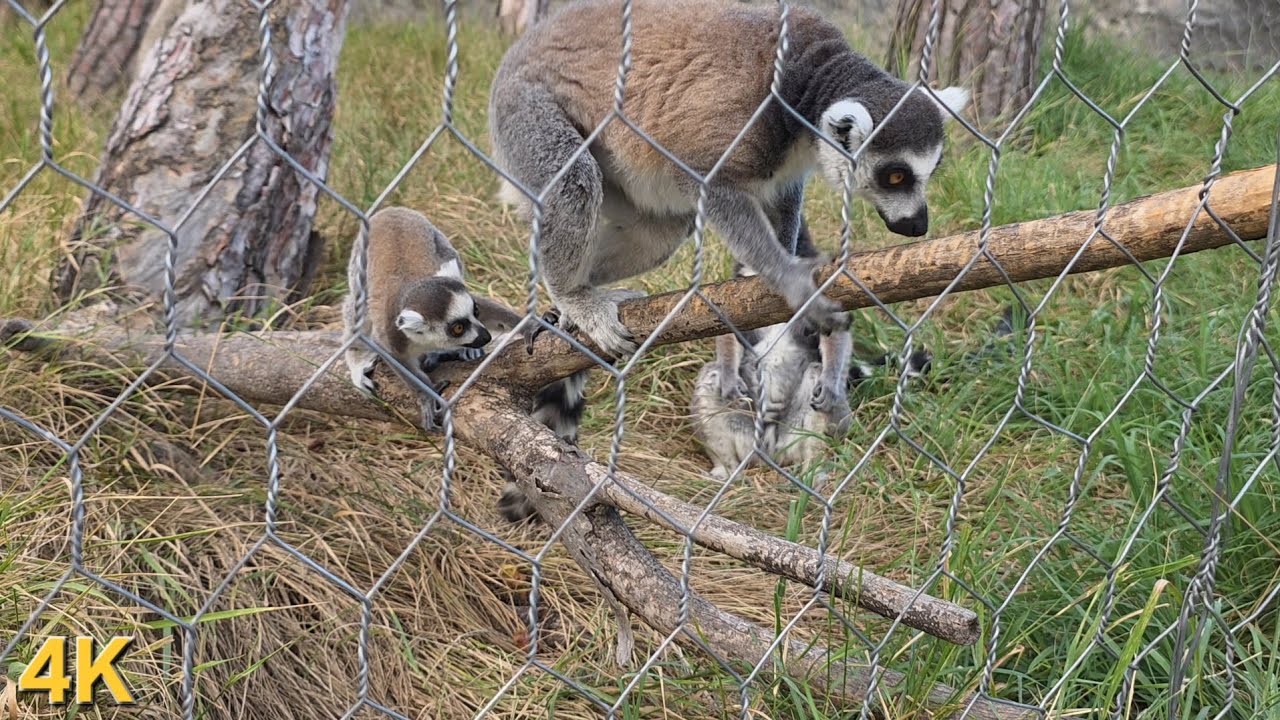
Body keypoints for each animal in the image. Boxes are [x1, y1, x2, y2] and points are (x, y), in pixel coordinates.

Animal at [488, 0, 969, 359]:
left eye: (928, 172)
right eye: (895, 176)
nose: (917, 224)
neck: (805, 82)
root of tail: (523, 44)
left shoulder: (786, 162)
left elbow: (783, 196)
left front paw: (768, 267)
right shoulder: (741, 117)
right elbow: (711, 185)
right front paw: (790, 280)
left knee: (658, 233)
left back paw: (574, 298)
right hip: (524, 105)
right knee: (574, 183)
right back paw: (574, 295)